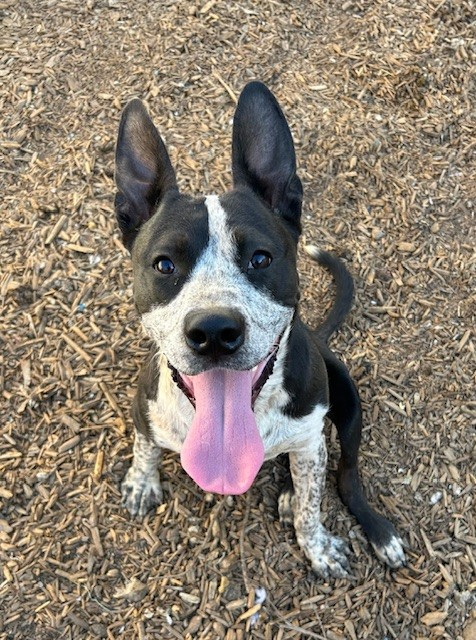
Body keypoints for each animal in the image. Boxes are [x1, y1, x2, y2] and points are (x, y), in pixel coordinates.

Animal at [112, 82, 406, 576]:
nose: (213, 330)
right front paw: (141, 481)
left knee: (344, 476)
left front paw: (317, 546)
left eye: (261, 258)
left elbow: (312, 504)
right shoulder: (143, 410)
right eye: (164, 264)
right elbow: (145, 445)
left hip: (347, 402)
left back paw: (373, 530)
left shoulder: (311, 440)